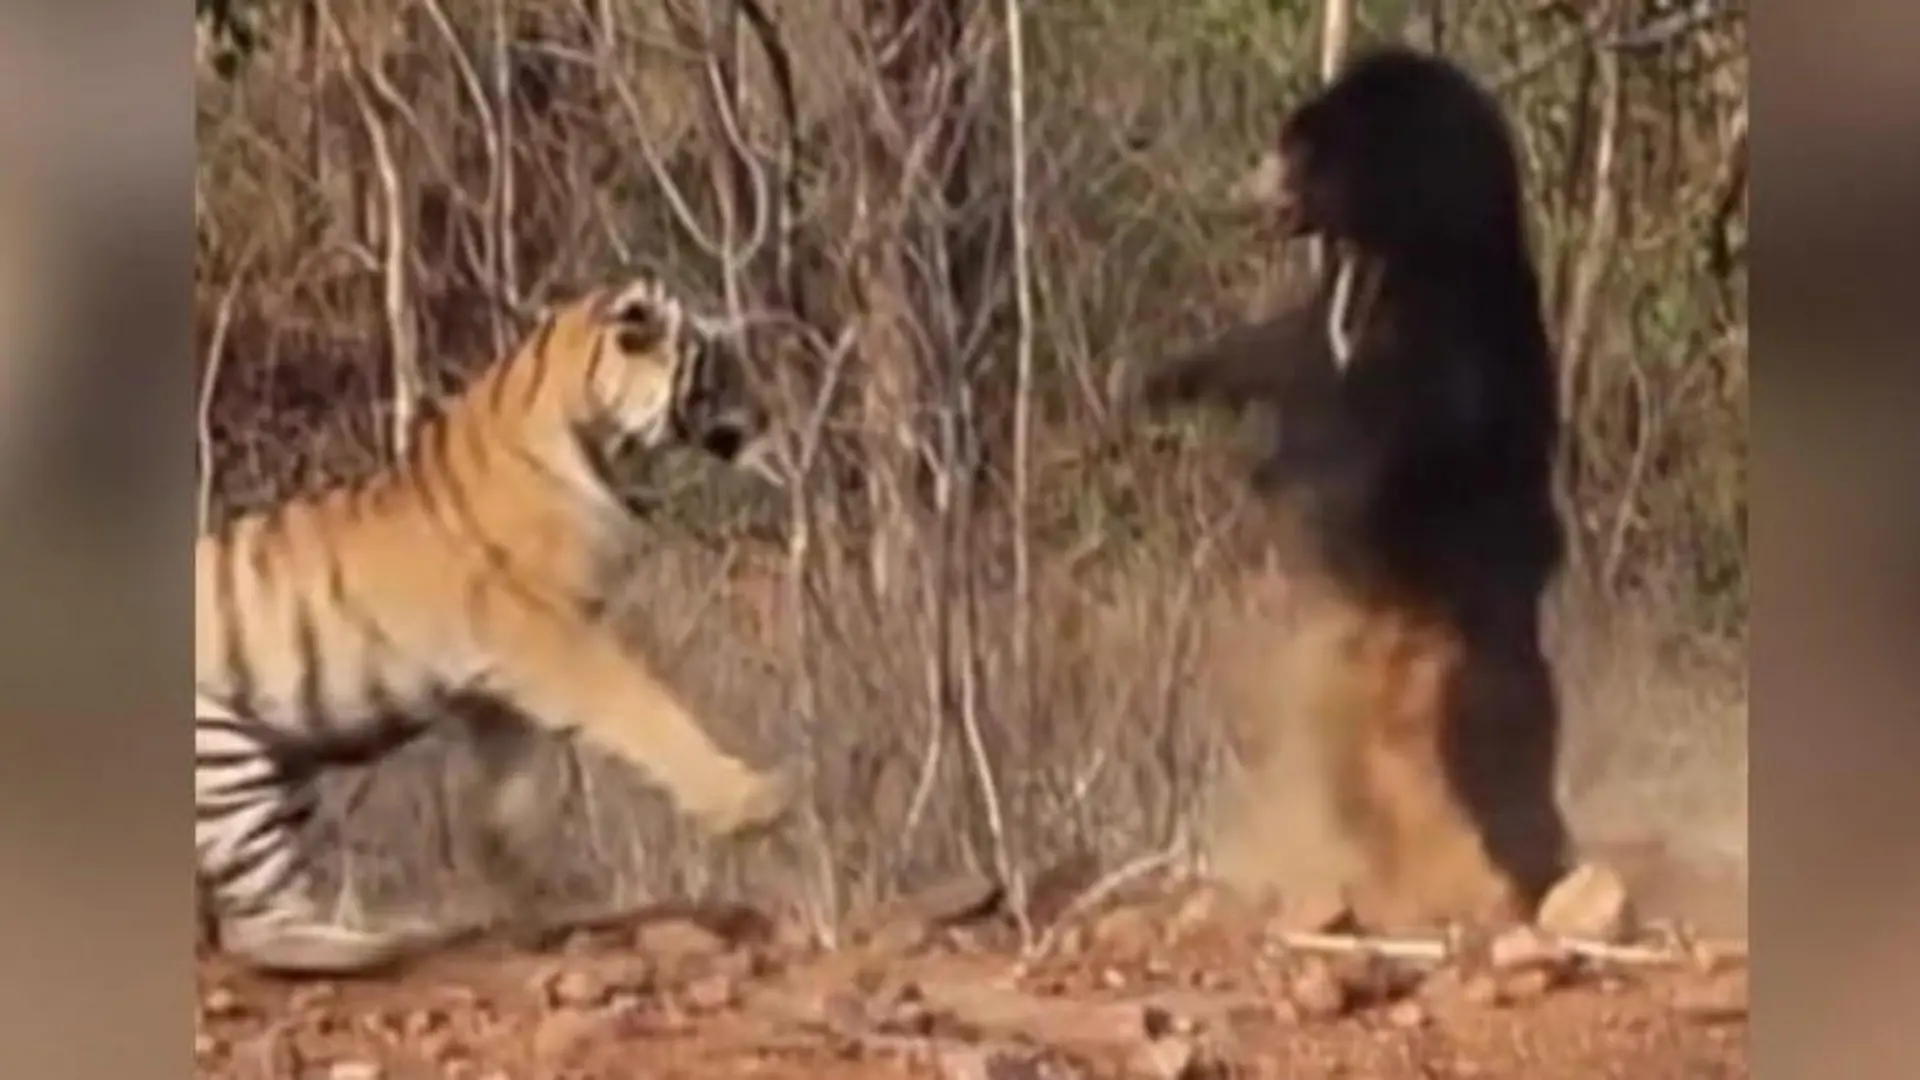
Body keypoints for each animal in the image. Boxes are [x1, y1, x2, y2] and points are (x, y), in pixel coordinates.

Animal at [195, 273, 800, 975]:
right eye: (721, 366)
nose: (769, 418)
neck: (590, 430)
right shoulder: (548, 634)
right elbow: (645, 706)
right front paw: (751, 803)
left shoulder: (496, 686)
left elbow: (507, 801)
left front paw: (536, 901)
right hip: (226, 761)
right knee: (257, 925)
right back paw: (386, 939)